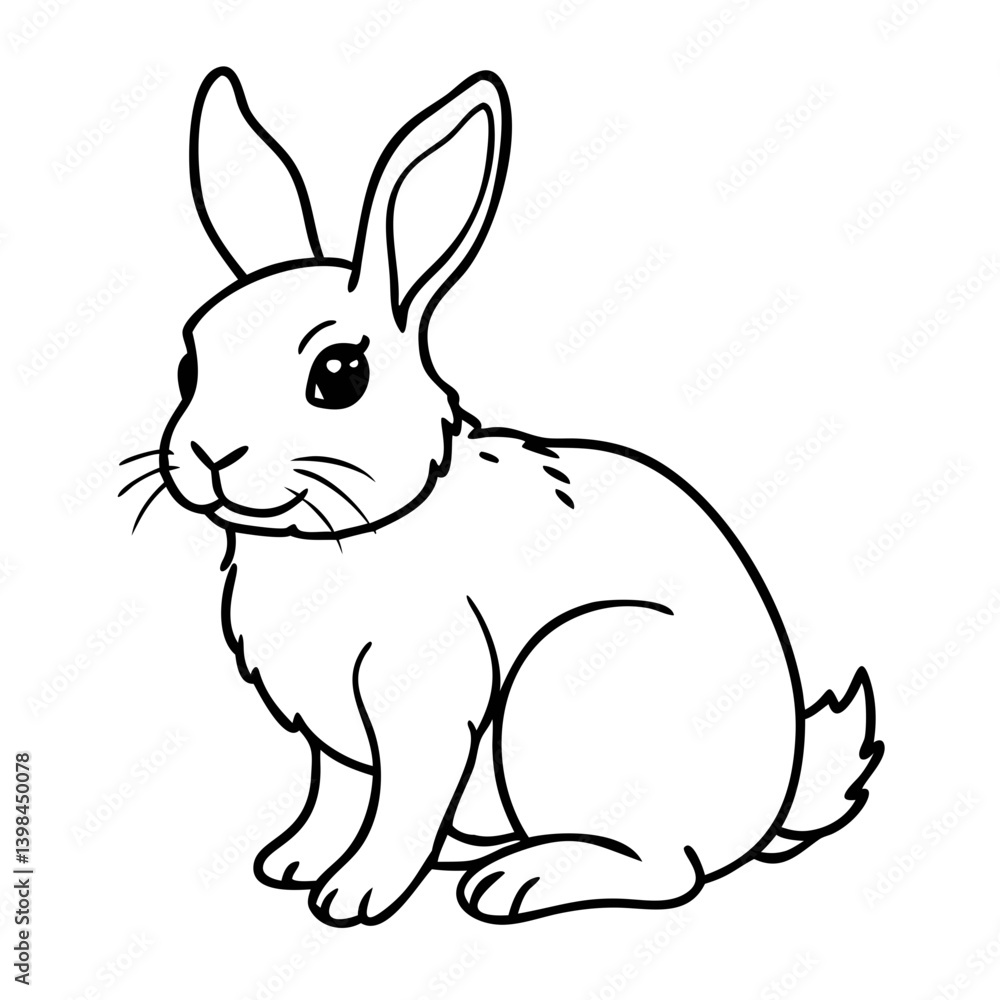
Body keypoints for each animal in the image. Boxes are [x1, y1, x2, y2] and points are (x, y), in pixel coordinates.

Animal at [129, 67, 883, 926]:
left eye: (340, 375)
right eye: (189, 363)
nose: (208, 456)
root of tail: (772, 801)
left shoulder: (426, 707)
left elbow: (400, 806)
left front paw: (355, 895)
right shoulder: (330, 740)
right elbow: (335, 796)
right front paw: (291, 862)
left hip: (565, 689)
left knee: (667, 871)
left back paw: (517, 880)